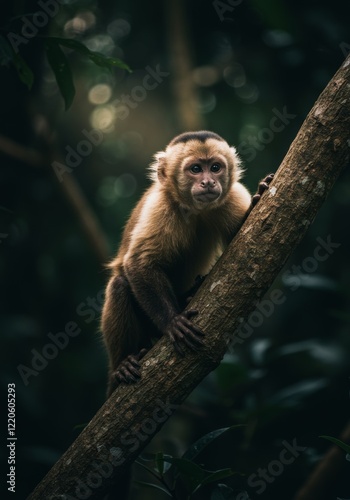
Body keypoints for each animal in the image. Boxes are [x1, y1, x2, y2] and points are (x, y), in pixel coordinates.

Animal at [101, 131, 274, 396]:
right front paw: (172, 322)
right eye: (195, 169)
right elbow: (139, 264)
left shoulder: (231, 196)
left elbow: (242, 243)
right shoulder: (161, 205)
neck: (195, 209)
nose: (208, 182)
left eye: (215, 168)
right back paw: (122, 365)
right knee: (120, 285)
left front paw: (259, 196)